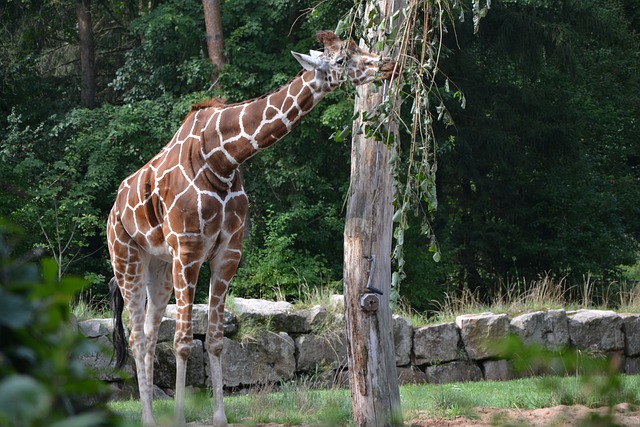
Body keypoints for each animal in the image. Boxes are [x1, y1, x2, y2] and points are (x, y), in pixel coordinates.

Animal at [106, 30, 396, 427]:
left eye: (360, 48)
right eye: (340, 60)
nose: (388, 64)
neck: (223, 157)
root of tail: (113, 209)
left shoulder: (228, 251)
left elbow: (214, 340)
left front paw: (220, 418)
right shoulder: (189, 249)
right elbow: (183, 341)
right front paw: (181, 417)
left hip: (159, 266)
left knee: (149, 335)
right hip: (127, 258)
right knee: (137, 336)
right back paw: (149, 419)